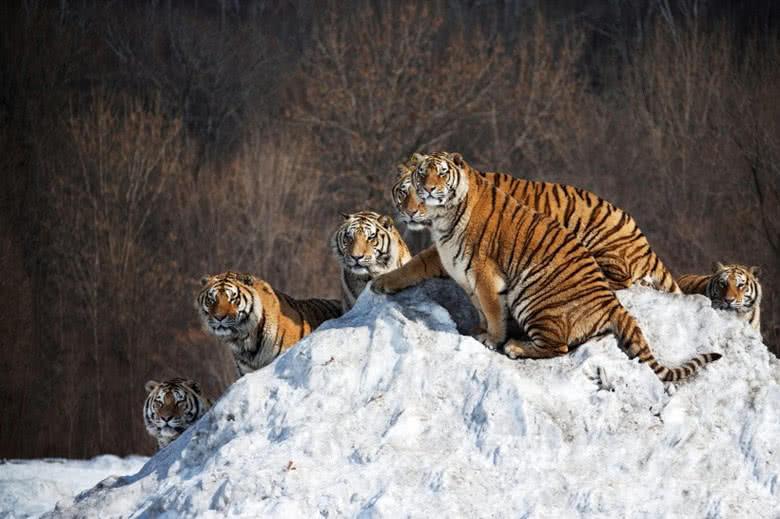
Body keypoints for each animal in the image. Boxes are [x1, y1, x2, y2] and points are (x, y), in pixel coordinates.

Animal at [391, 153, 680, 293]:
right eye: (404, 192)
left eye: (423, 194)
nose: (412, 213)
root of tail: (644, 241)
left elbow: (420, 261)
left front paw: (387, 281)